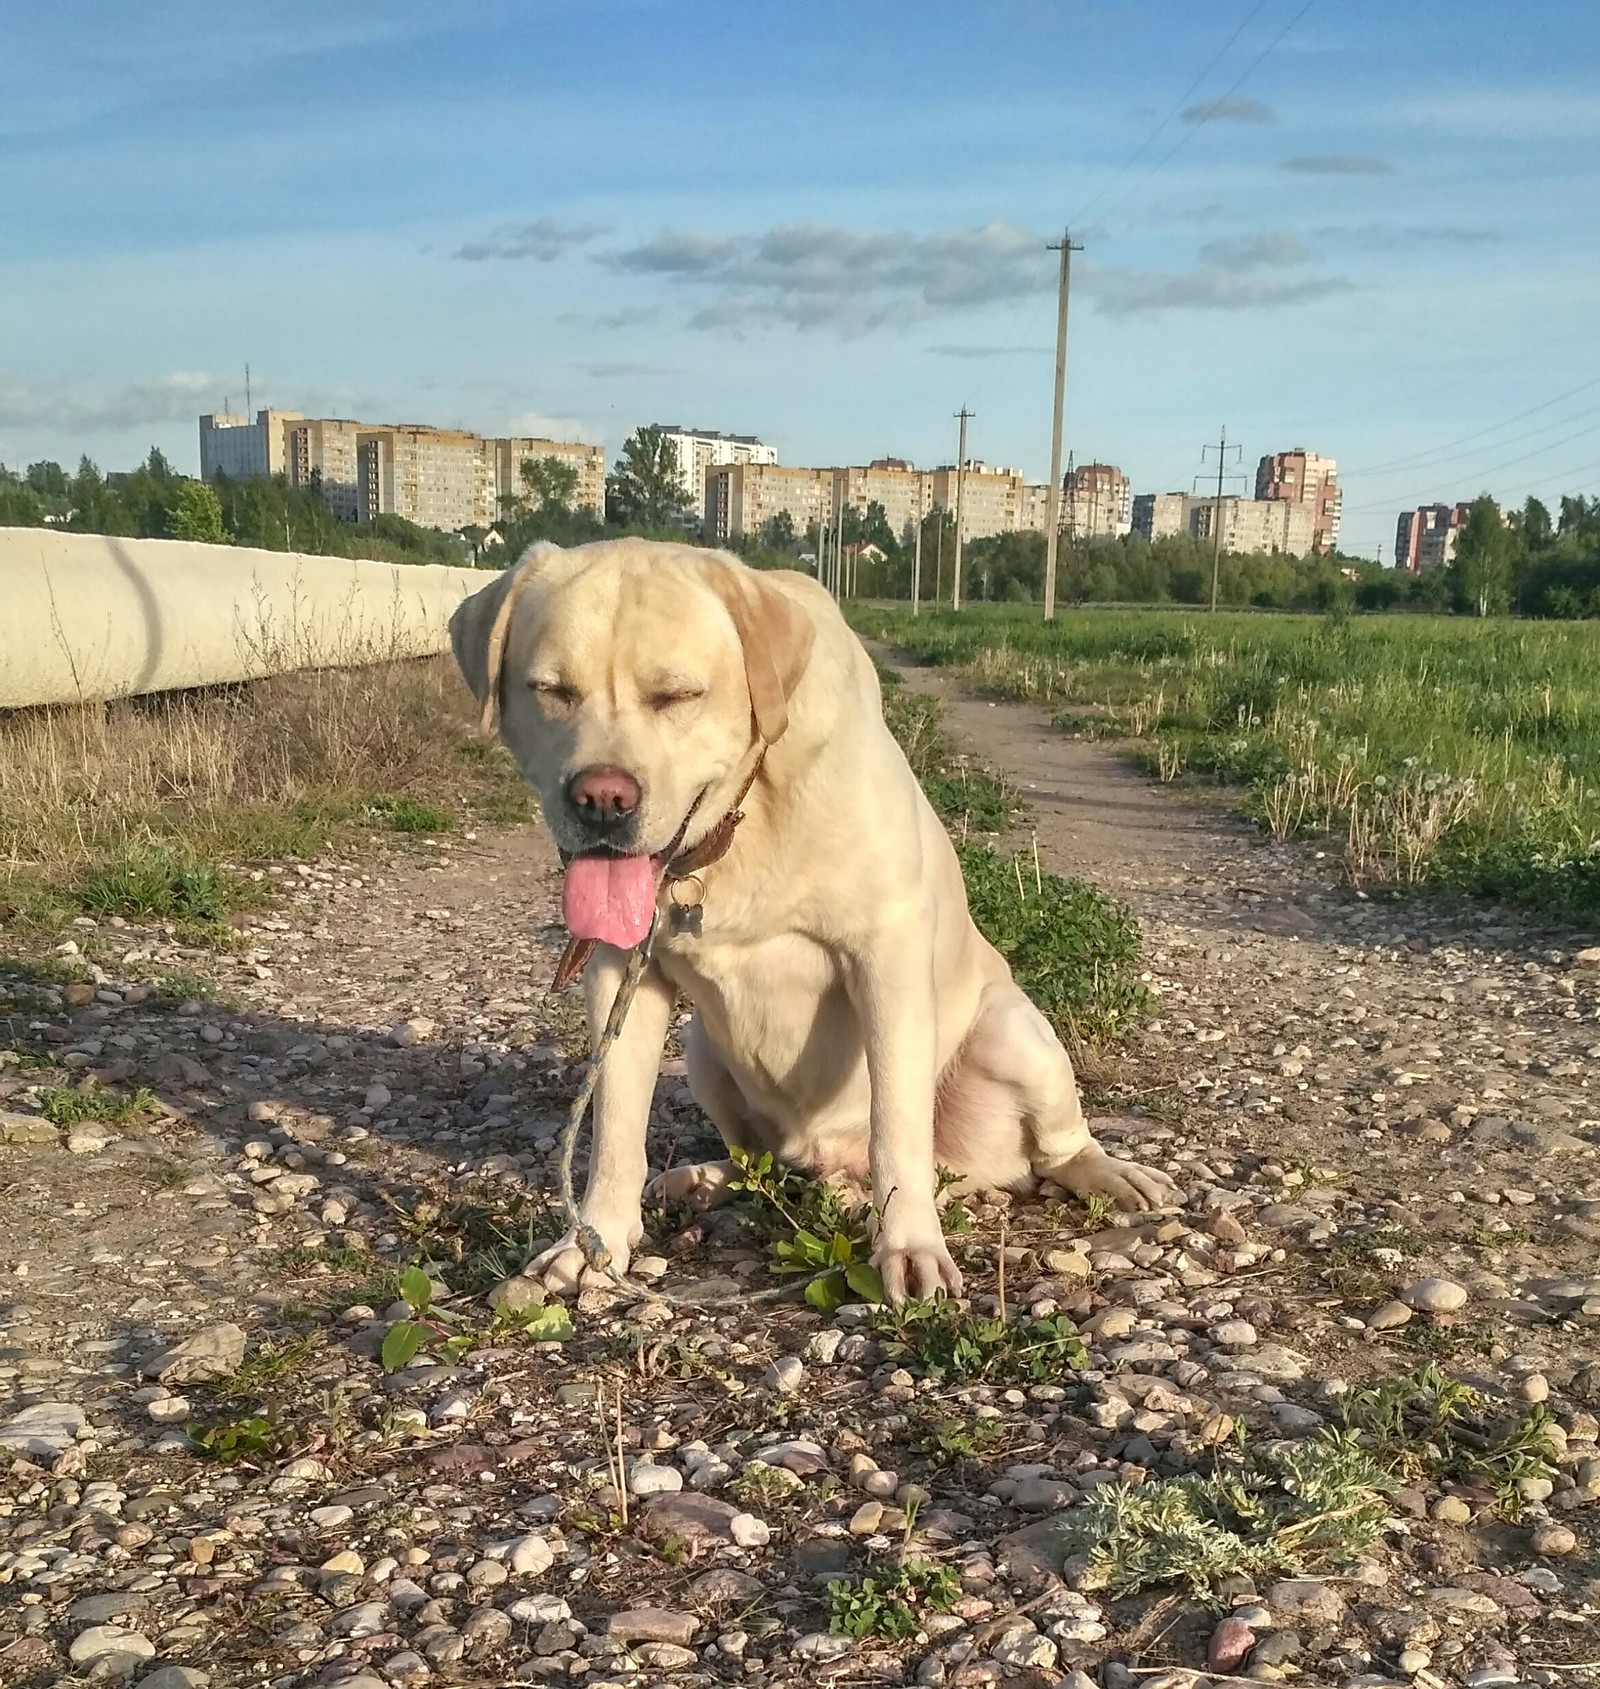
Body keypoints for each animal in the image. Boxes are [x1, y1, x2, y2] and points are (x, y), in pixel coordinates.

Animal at [449, 533, 1175, 1297]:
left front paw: (908, 1246)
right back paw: (707, 1180)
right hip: (704, 1051)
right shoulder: (620, 971)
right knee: (759, 1162)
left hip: (1013, 1032)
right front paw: (592, 1244)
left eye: (676, 694)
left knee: (1052, 1146)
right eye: (552, 690)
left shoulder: (884, 953)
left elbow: (896, 1126)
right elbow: (616, 1122)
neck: (731, 833)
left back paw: (1108, 1174)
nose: (601, 800)